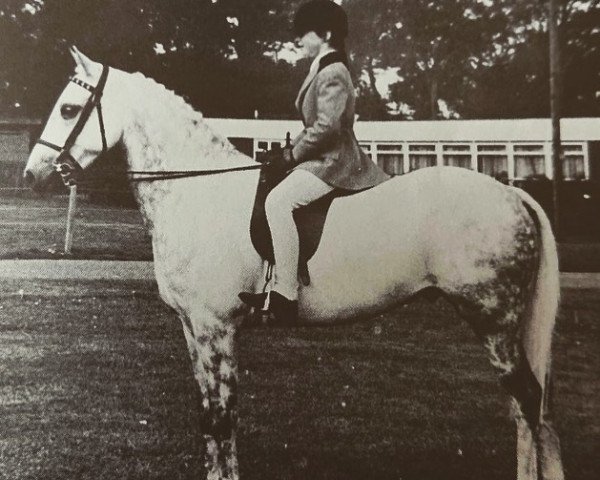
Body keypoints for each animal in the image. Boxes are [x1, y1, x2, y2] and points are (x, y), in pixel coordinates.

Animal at [23, 47, 564, 480]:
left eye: (69, 108)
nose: (31, 176)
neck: (199, 191)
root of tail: (513, 193)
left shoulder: (216, 327)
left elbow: (222, 416)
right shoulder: (193, 328)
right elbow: (209, 416)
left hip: (492, 319)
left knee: (527, 403)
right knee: (529, 408)